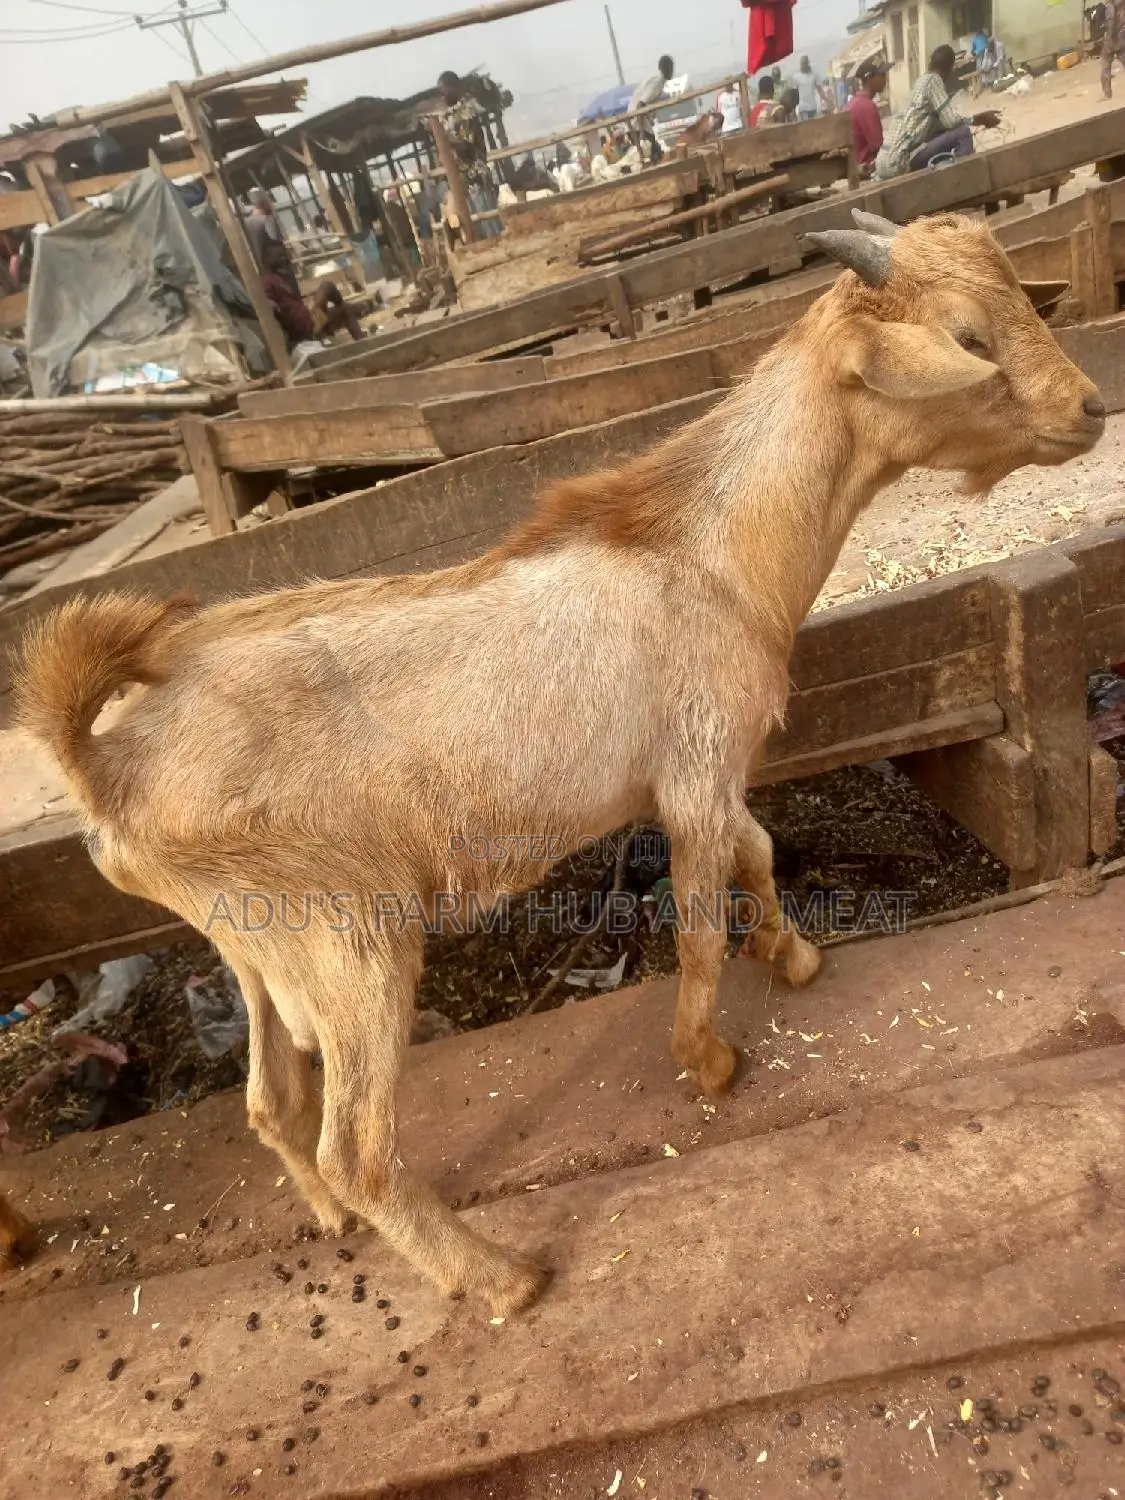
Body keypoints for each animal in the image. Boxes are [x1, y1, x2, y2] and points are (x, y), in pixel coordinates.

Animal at [15, 210, 1103, 1317]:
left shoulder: (707, 772)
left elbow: (757, 854)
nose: (1091, 407)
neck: (707, 554)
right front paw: (710, 1058)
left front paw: (793, 956)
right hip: (347, 936)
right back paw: (499, 1277)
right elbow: (701, 928)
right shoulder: (694, 772)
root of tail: (108, 764)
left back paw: (327, 1215)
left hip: (255, 944)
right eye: (969, 339)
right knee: (357, 1145)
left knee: (273, 1102)